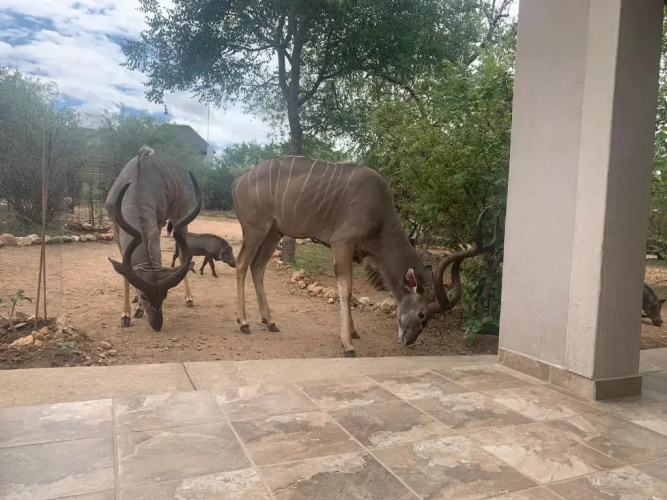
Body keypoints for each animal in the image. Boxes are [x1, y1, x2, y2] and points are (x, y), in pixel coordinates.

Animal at [106, 146, 202, 331]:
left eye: (164, 295)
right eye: (144, 296)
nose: (157, 324)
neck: (138, 185)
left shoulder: (158, 221)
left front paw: (137, 311)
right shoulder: (115, 227)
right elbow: (124, 271)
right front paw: (126, 315)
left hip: (180, 217)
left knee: (181, 254)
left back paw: (189, 298)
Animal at [233, 156, 498, 357]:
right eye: (422, 314)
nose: (409, 339)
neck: (380, 213)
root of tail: (238, 181)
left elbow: (349, 293)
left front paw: (353, 333)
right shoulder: (341, 243)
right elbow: (346, 289)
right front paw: (347, 344)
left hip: (273, 233)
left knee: (258, 267)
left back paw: (270, 322)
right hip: (255, 229)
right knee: (242, 264)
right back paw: (244, 323)